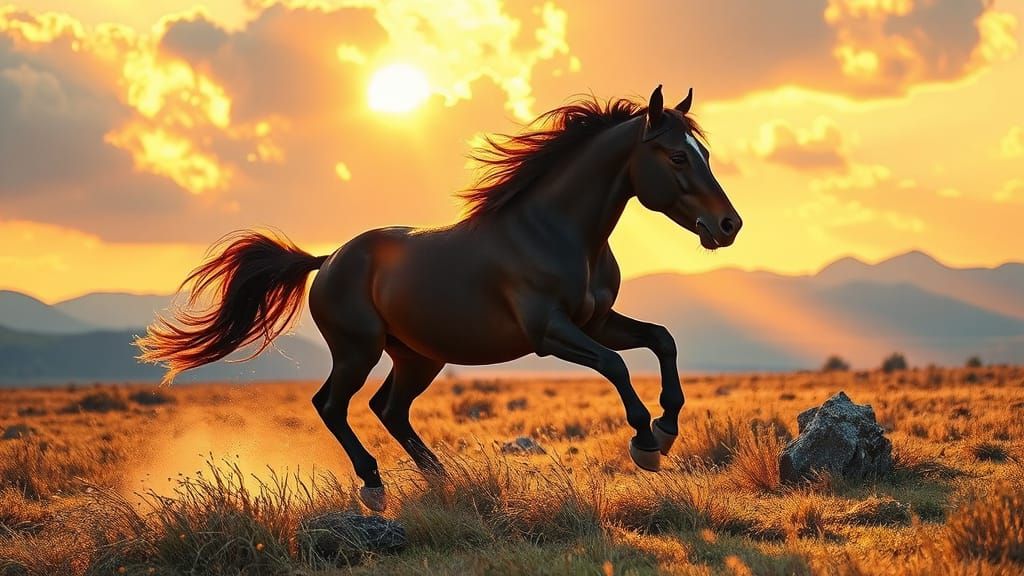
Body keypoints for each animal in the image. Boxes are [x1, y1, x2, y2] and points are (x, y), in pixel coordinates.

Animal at [137, 85, 742, 512]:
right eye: (677, 157)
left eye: (705, 153)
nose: (729, 225)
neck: (557, 231)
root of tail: (328, 260)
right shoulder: (550, 333)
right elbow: (616, 365)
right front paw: (646, 443)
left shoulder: (597, 322)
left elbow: (661, 341)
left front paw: (666, 427)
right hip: (358, 351)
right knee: (331, 405)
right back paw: (375, 486)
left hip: (418, 356)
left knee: (389, 408)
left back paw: (442, 478)